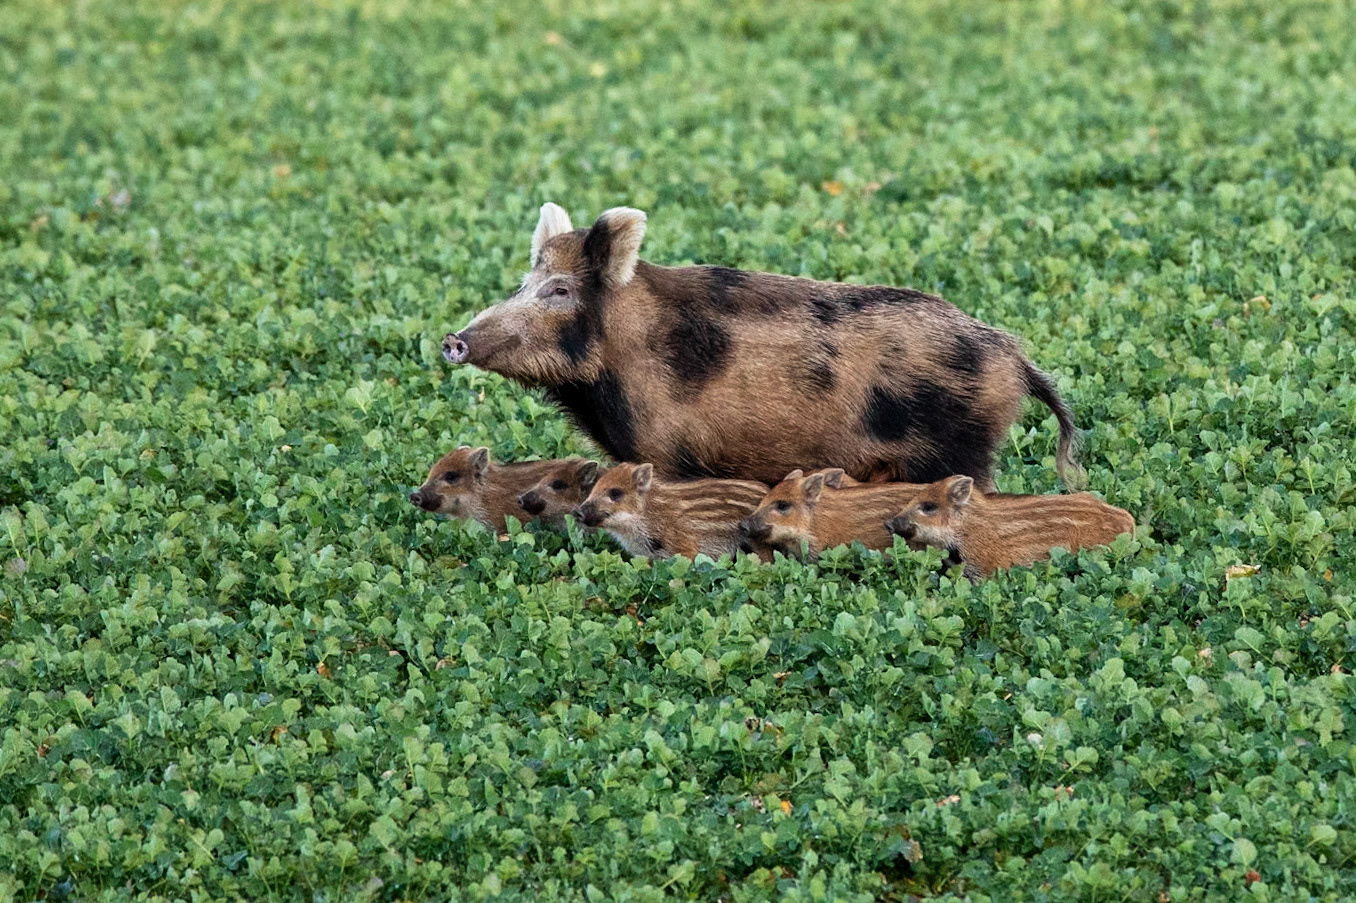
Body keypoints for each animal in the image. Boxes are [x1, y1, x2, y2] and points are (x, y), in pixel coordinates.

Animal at [442, 203, 1082, 492]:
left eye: (559, 290)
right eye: (523, 283)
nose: (453, 339)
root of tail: (1016, 358)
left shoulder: (669, 453)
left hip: (963, 449)